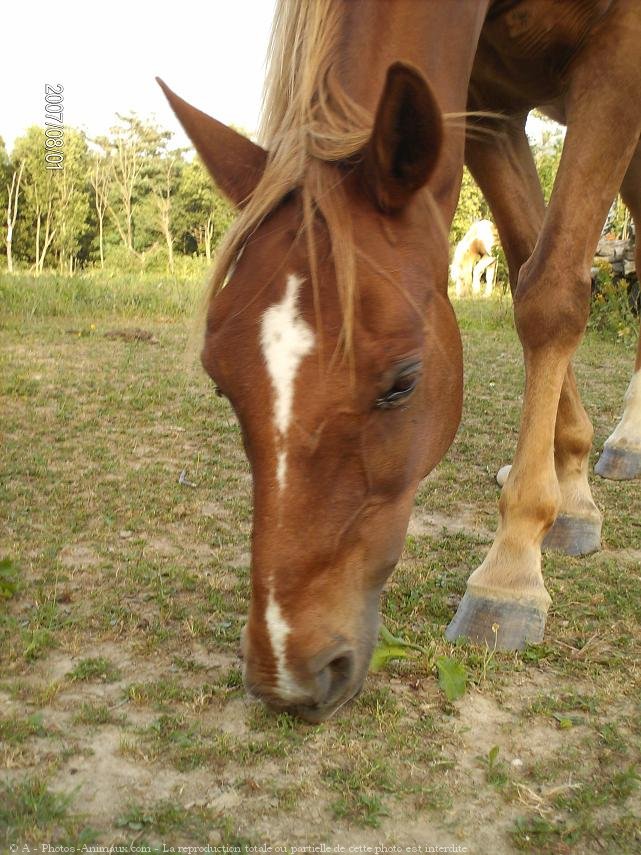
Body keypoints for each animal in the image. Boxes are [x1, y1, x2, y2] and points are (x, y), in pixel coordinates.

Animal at [156, 0, 640, 724]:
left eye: (402, 382)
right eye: (221, 384)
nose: (290, 675)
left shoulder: (618, 54)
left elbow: (552, 293)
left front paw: (511, 571)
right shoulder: (489, 105)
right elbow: (529, 261)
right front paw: (570, 485)